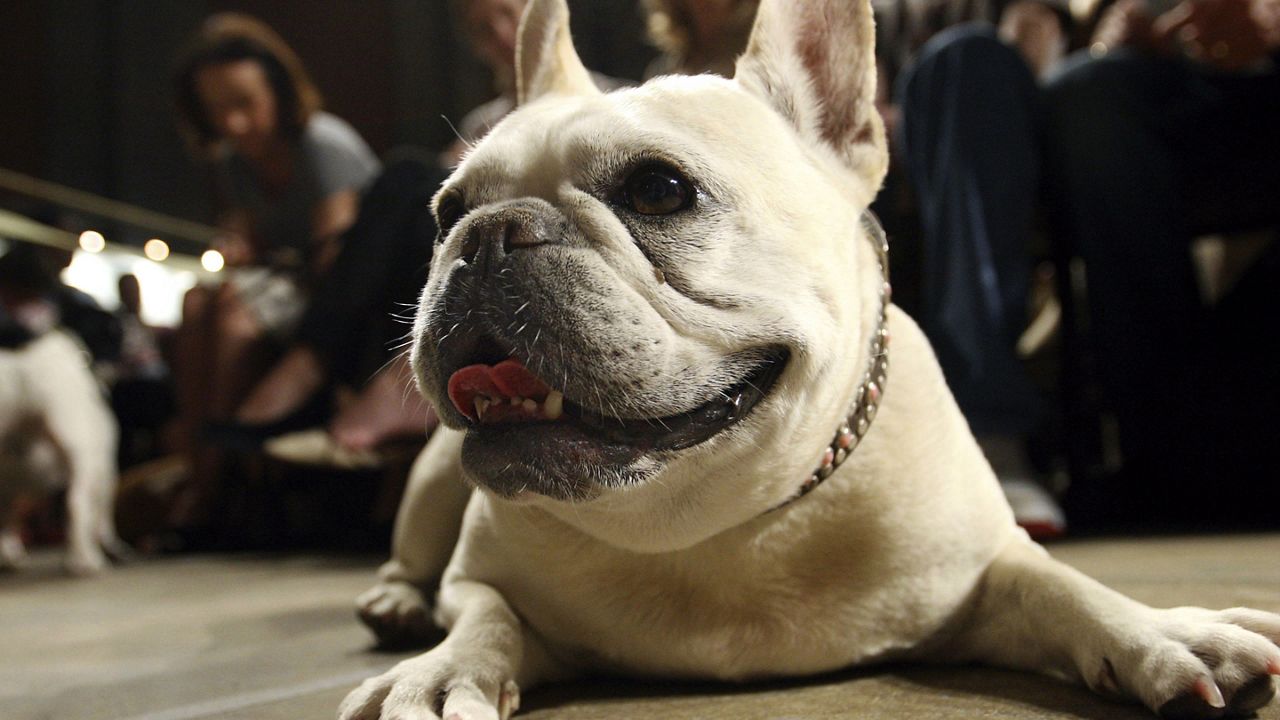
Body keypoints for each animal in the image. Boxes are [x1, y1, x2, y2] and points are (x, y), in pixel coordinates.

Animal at [340, 1, 1280, 717]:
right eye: (445, 212)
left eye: (658, 190)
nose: (486, 235)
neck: (716, 524)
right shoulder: (480, 579)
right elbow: (484, 616)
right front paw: (442, 671)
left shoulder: (984, 569)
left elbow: (1063, 588)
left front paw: (1165, 633)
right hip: (432, 480)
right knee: (414, 559)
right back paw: (396, 601)